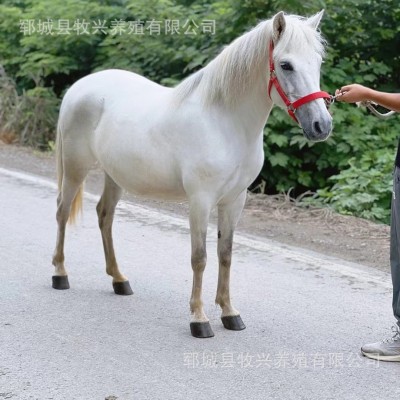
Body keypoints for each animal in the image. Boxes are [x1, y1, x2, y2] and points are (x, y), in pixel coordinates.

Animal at [54, 10, 334, 338]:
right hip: (76, 168)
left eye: (318, 61)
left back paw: (119, 280)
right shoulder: (200, 200)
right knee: (62, 212)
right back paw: (60, 274)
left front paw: (229, 313)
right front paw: (199, 319)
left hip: (115, 175)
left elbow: (225, 254)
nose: (321, 126)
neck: (225, 123)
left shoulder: (234, 201)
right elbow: (199, 258)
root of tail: (79, 86)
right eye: (286, 64)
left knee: (104, 216)